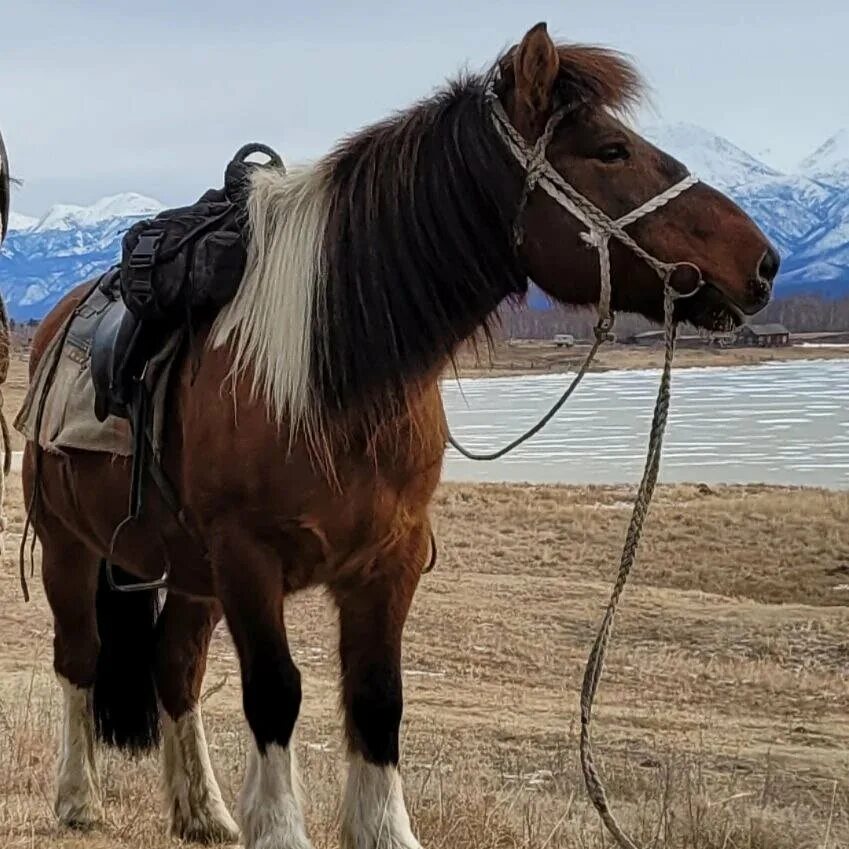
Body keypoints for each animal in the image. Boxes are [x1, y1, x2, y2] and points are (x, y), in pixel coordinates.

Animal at [21, 24, 776, 848]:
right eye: (610, 150)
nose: (763, 261)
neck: (332, 376)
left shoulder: (391, 557)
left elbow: (379, 698)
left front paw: (380, 828)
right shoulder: (247, 558)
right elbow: (275, 692)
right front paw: (277, 828)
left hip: (189, 571)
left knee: (175, 666)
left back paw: (204, 811)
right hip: (71, 547)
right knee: (80, 658)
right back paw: (79, 796)